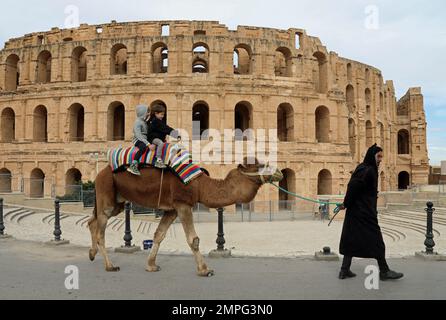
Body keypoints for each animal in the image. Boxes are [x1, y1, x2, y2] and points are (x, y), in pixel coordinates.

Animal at [87, 159, 282, 276]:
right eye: (259, 166)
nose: (279, 172)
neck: (200, 185)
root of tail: (100, 174)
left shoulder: (172, 209)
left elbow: (159, 235)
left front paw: (151, 265)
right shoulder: (183, 204)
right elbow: (193, 239)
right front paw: (205, 270)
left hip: (118, 201)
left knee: (92, 221)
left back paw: (91, 254)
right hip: (106, 191)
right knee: (100, 229)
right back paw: (110, 266)